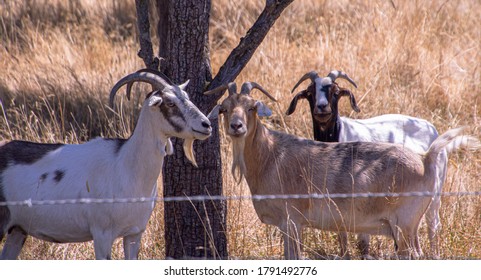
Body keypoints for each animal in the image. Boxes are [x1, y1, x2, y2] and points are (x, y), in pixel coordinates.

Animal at [284, 70, 446, 258]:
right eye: (310, 93)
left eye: (335, 92)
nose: (322, 108)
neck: (339, 134)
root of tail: (431, 128)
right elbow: (341, 230)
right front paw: (344, 255)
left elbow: (362, 240)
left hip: (434, 193)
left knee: (433, 223)